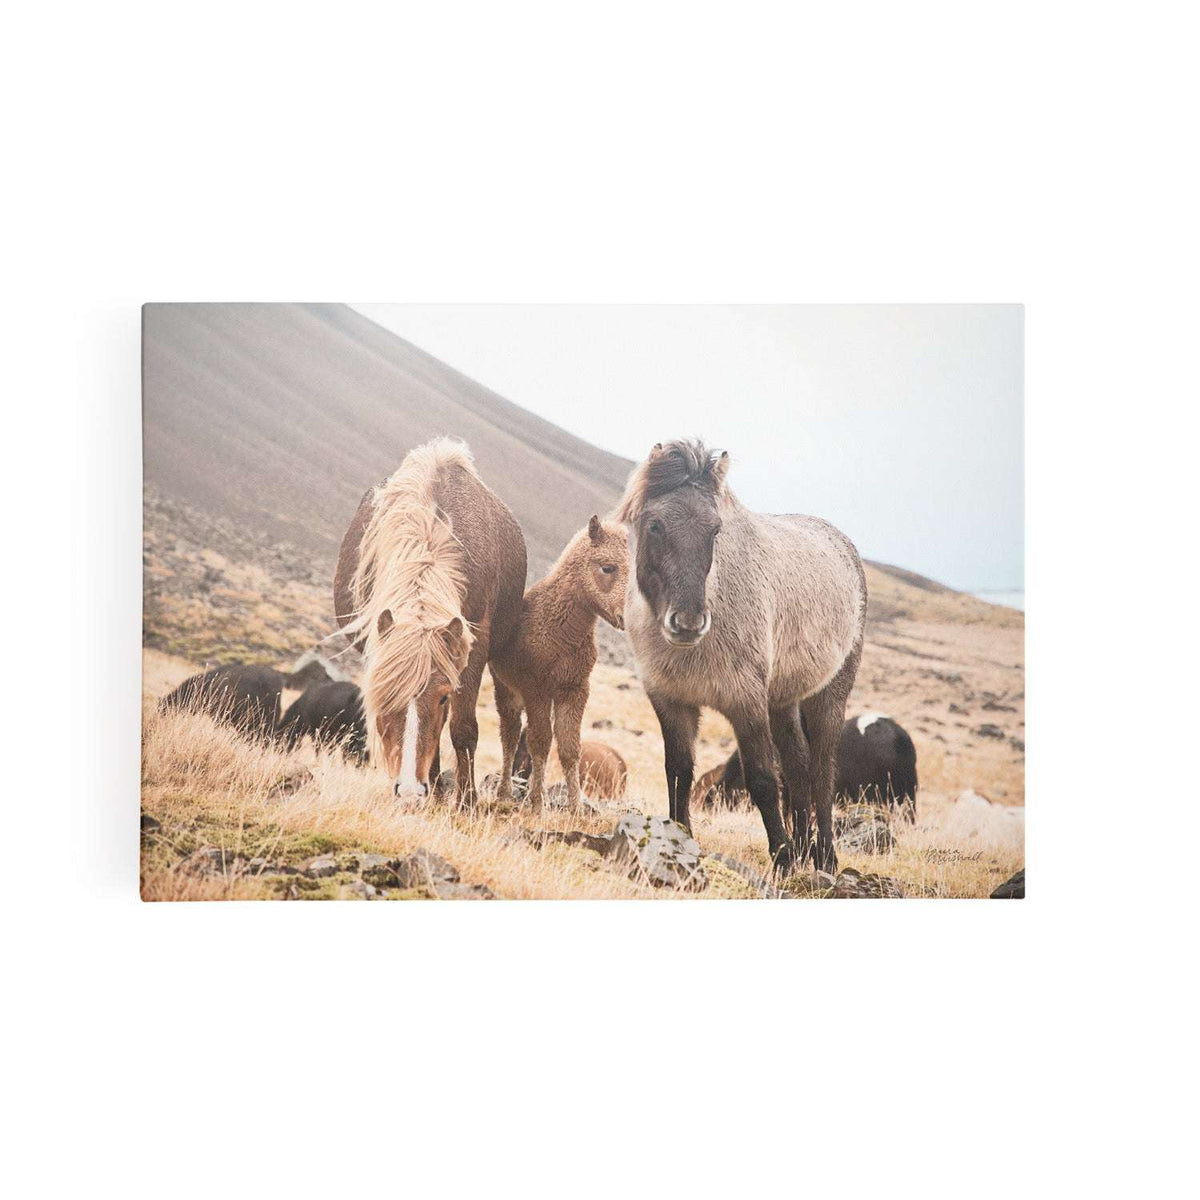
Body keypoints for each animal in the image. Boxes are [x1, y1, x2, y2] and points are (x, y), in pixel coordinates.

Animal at [333, 438, 527, 804]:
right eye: (384, 693)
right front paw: (436, 789)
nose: (409, 791)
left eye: (442, 697)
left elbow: (462, 727)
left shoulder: (473, 645)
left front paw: (467, 800)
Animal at [490, 516, 628, 810]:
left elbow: (569, 749)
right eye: (607, 567)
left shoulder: (574, 691)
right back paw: (504, 792)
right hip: (507, 690)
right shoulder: (536, 691)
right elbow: (540, 743)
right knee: (510, 735)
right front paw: (537, 804)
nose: (625, 617)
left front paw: (575, 807)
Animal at [617, 439, 866, 873]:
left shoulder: (745, 702)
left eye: (715, 529)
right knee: (798, 764)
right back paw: (805, 847)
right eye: (655, 526)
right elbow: (678, 770)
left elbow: (763, 780)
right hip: (783, 700)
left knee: (821, 770)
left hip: (828, 697)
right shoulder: (671, 701)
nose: (688, 623)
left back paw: (824, 856)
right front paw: (679, 838)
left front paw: (782, 858)